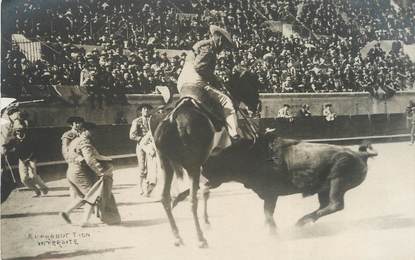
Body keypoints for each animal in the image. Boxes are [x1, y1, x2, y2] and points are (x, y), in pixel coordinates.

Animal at [154, 71, 260, 248]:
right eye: (252, 83)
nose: (258, 106)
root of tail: (172, 119)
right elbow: (203, 190)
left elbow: (205, 190)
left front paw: (206, 221)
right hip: (192, 166)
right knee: (192, 200)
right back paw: (200, 238)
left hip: (166, 165)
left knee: (165, 198)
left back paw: (177, 235)